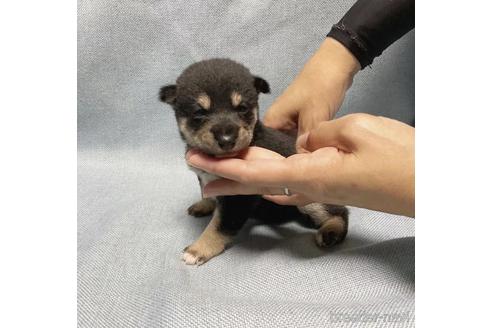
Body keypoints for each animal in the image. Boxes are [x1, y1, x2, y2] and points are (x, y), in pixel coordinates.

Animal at [160, 57, 348, 266]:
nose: (227, 139)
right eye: (199, 113)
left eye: (242, 108)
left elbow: (219, 226)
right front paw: (204, 204)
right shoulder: (204, 178)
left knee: (339, 212)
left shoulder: (239, 197)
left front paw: (198, 249)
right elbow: (207, 192)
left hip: (310, 198)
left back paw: (331, 231)